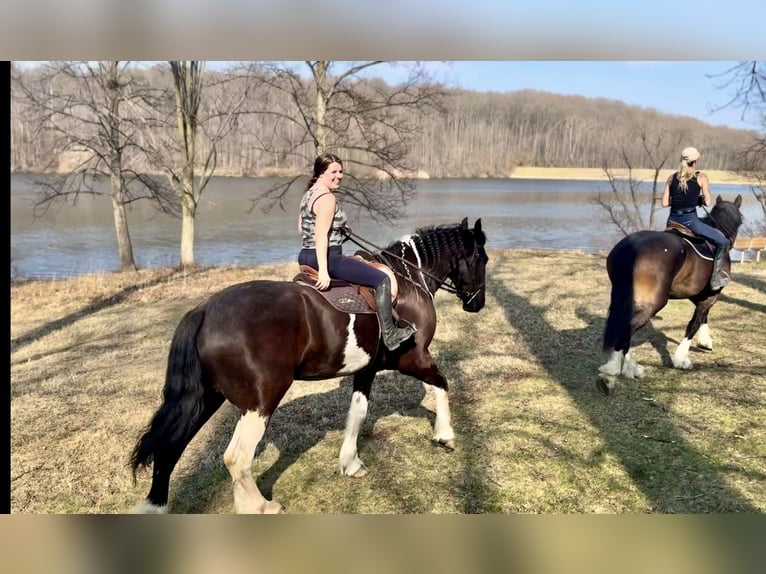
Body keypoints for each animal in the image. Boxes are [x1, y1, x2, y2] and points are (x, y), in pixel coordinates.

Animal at [130, 217, 488, 513]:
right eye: (482, 259)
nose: (477, 304)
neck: (409, 280)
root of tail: (205, 310)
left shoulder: (366, 369)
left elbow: (358, 413)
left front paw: (350, 462)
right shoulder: (414, 357)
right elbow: (441, 383)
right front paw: (444, 434)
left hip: (204, 398)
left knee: (169, 449)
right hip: (261, 401)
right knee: (236, 458)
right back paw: (260, 507)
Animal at [598, 194, 743, 393]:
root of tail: (630, 248)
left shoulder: (698, 295)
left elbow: (702, 317)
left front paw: (705, 342)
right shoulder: (711, 296)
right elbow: (694, 323)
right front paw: (682, 359)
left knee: (619, 327)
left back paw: (618, 366)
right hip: (652, 304)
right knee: (626, 330)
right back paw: (625, 369)